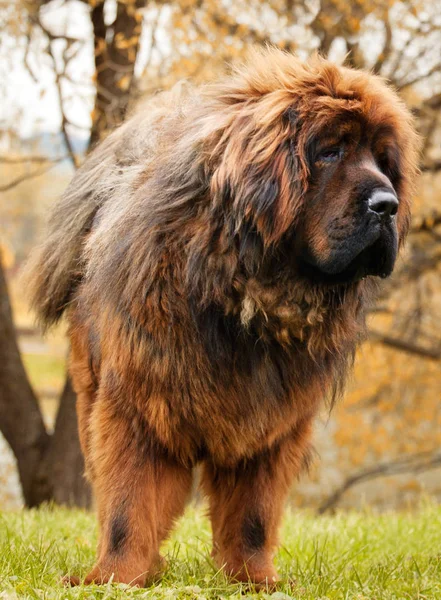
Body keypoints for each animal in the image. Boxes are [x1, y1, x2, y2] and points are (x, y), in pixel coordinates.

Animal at [29, 48, 418, 584]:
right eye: (329, 152)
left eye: (383, 161)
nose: (387, 205)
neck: (245, 294)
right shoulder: (138, 405)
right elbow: (128, 503)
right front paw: (114, 577)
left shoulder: (270, 423)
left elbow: (253, 513)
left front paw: (253, 578)